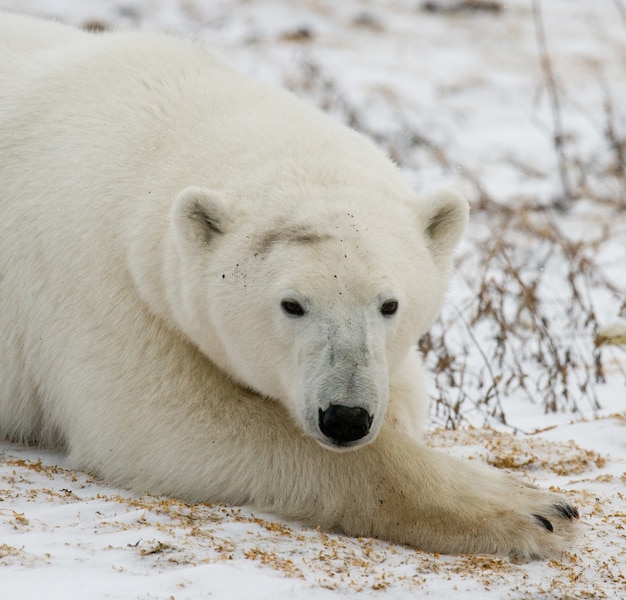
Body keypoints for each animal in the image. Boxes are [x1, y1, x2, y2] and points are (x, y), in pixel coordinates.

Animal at [0, 12, 576, 556]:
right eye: (292, 305)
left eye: (389, 305)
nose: (345, 417)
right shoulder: (98, 281)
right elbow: (166, 421)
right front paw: (536, 510)